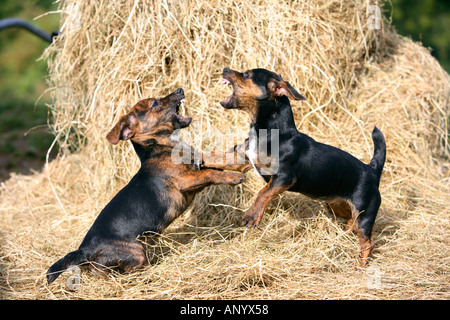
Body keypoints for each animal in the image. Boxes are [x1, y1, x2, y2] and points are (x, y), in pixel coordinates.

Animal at [45, 89, 246, 284]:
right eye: (155, 103)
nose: (180, 90)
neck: (163, 148)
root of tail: (84, 250)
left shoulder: (200, 160)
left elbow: (220, 158)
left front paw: (242, 159)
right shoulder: (184, 180)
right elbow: (210, 173)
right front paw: (234, 176)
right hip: (136, 249)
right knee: (110, 270)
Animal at [213, 68, 384, 264]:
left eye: (247, 75)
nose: (225, 69)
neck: (270, 133)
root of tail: (372, 171)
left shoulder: (284, 177)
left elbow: (263, 193)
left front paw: (252, 215)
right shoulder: (241, 158)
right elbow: (217, 159)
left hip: (364, 213)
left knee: (367, 242)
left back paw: (360, 265)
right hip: (338, 206)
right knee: (351, 224)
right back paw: (339, 238)